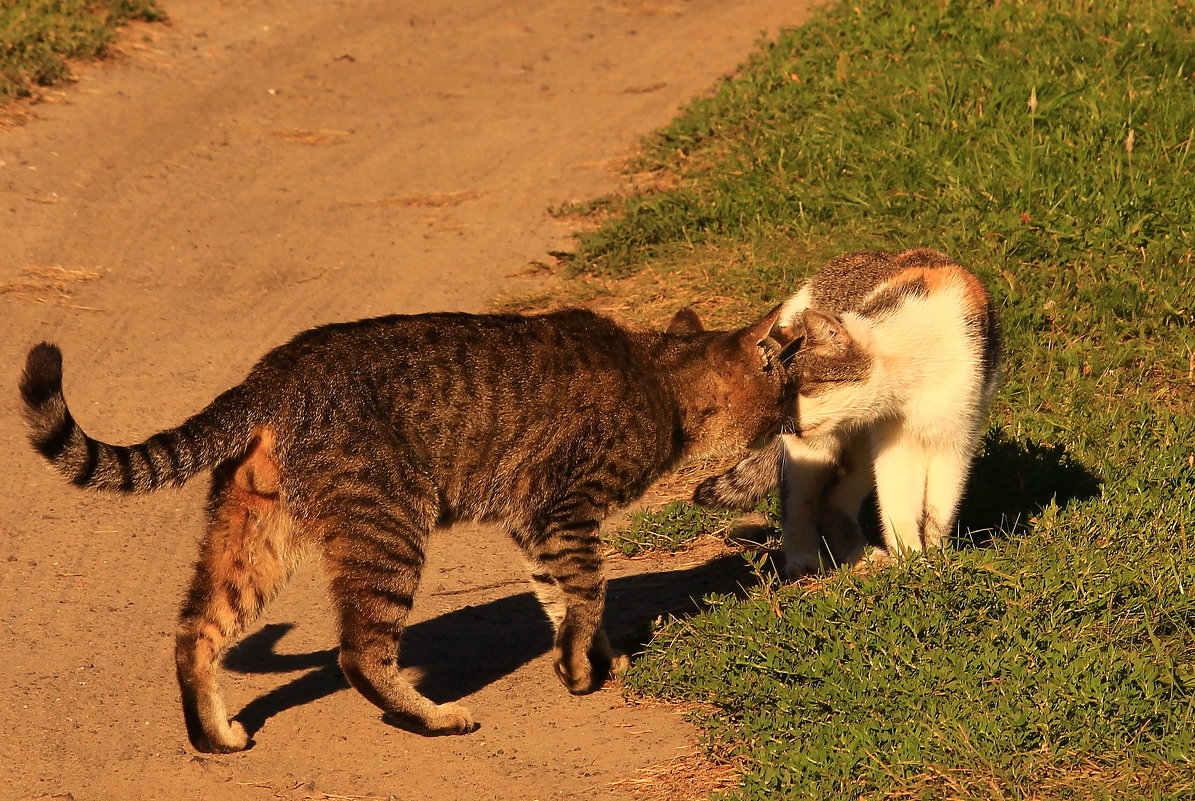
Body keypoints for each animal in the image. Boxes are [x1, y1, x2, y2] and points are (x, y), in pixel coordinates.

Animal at [18, 306, 793, 755]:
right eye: (782, 385)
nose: (790, 413)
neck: (661, 378)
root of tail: (270, 375)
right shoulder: (561, 509)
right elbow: (585, 593)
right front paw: (580, 669)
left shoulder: (532, 525)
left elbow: (562, 599)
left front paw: (596, 659)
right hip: (388, 530)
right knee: (360, 653)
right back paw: (432, 717)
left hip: (257, 535)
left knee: (197, 628)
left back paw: (216, 736)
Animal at [693, 249, 999, 578]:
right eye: (781, 393)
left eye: (801, 388)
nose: (777, 422)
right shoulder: (898, 448)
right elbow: (900, 509)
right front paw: (912, 563)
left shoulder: (956, 440)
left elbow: (939, 510)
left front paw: (935, 557)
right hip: (817, 450)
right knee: (796, 500)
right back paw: (804, 559)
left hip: (861, 451)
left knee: (832, 502)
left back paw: (861, 555)